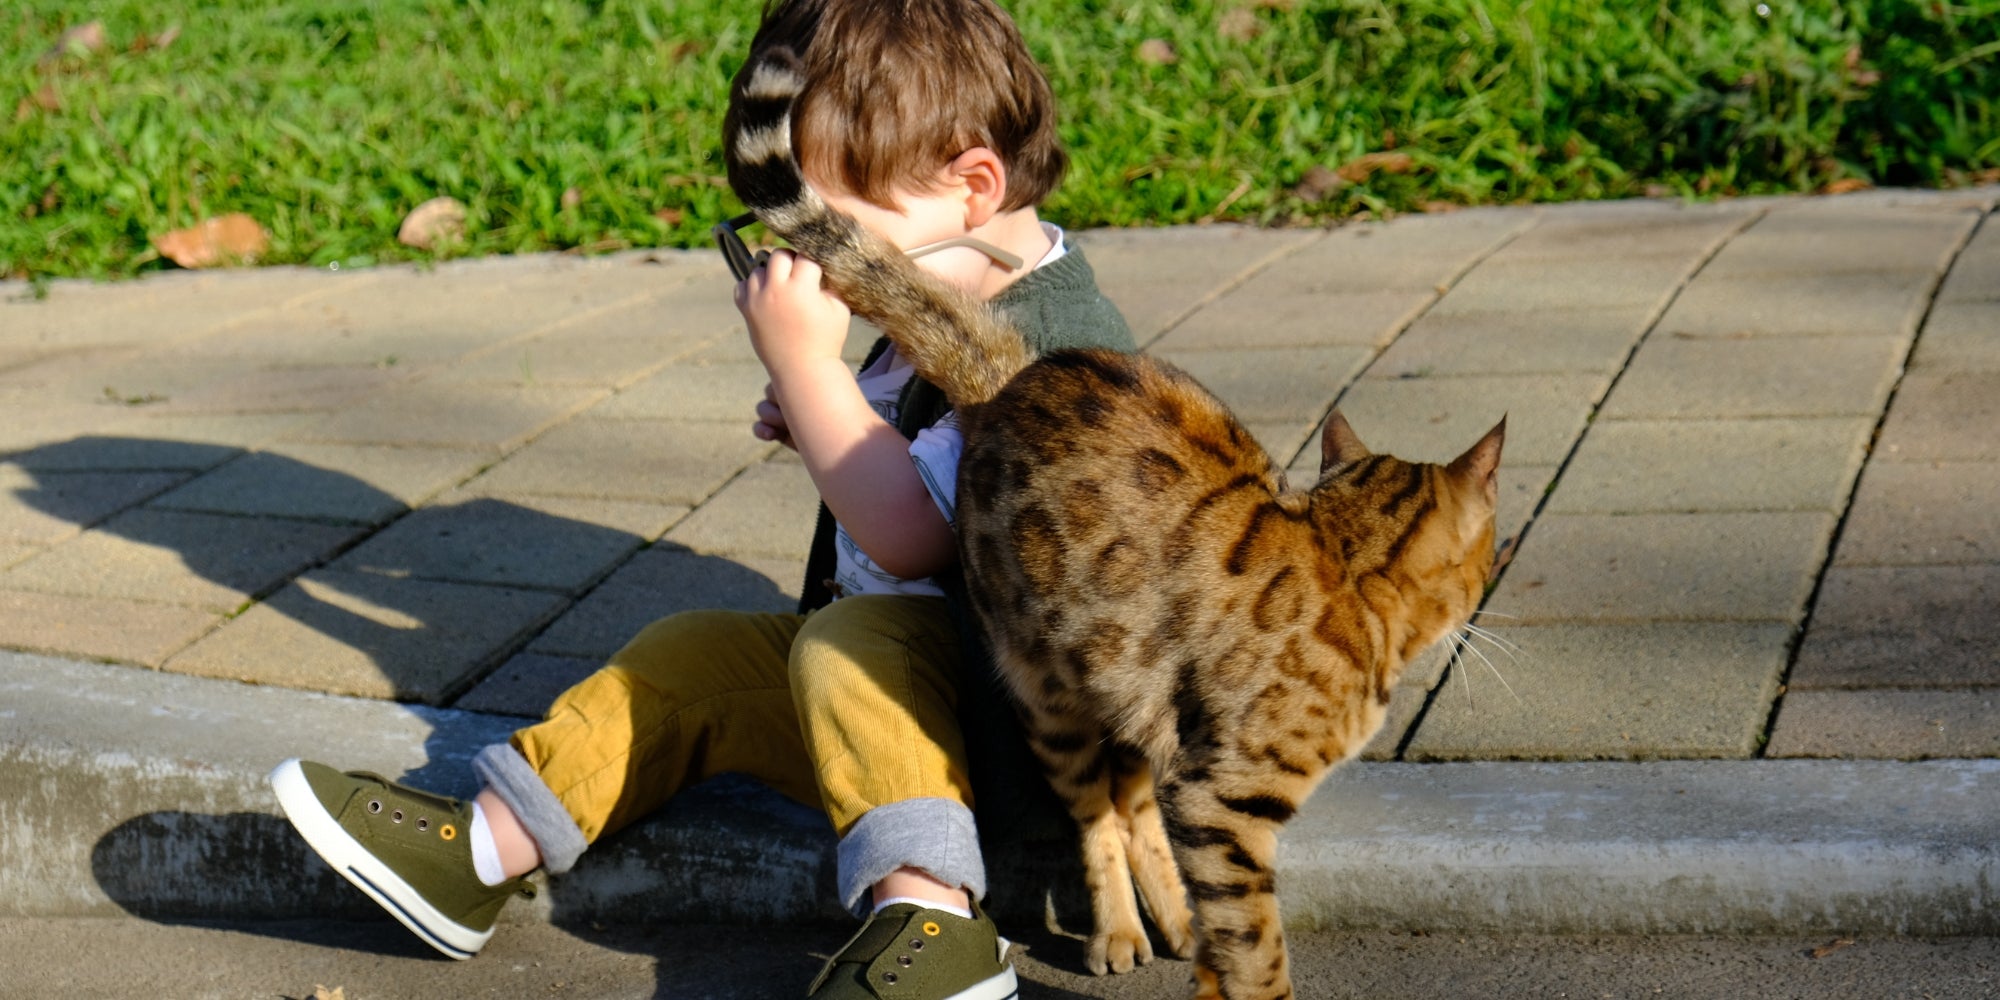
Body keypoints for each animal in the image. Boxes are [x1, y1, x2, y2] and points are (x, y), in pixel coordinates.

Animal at [728, 48, 1504, 1000]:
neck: (1350, 567)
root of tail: (1009, 378)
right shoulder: (1222, 802)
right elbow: (1256, 945)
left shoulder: (1198, 780)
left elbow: (1224, 935)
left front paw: (1203, 958)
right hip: (1048, 692)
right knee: (1097, 812)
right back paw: (1121, 931)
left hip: (1131, 687)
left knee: (1132, 802)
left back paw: (1167, 919)